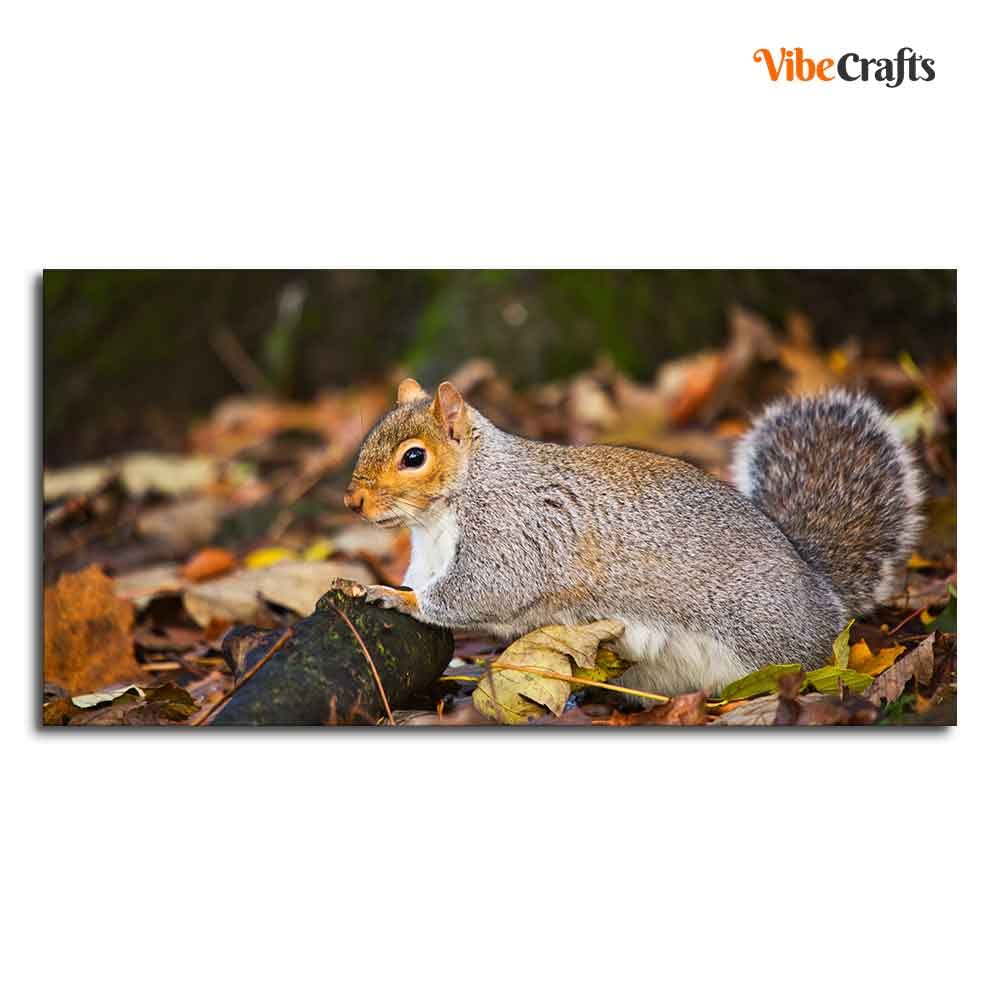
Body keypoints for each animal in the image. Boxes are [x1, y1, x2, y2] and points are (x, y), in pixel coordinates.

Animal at [344, 377, 923, 696]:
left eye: (413, 457)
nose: (353, 502)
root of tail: (821, 592)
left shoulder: (515, 530)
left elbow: (483, 590)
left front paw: (393, 595)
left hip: (769, 636)